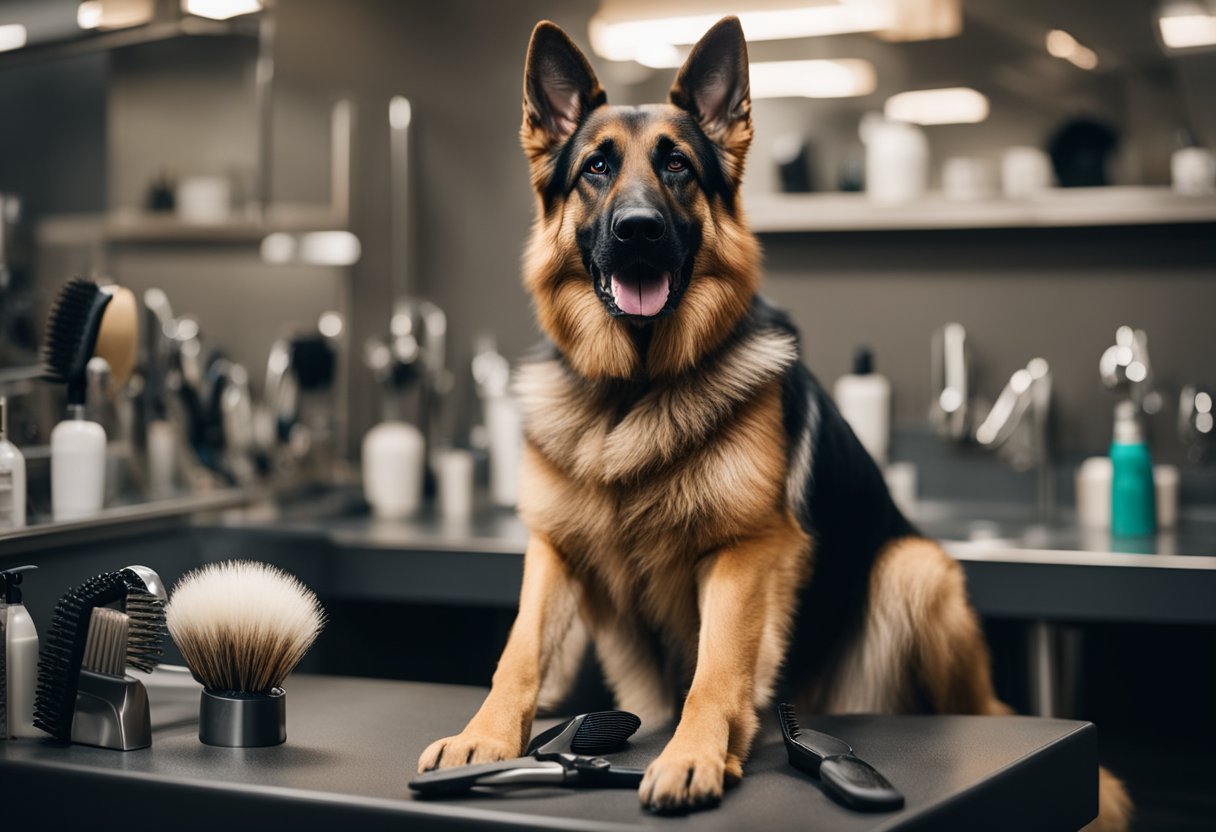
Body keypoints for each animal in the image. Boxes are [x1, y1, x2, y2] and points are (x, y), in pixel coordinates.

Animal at [420, 16, 1128, 827]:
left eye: (678, 166)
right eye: (596, 167)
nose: (638, 231)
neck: (634, 392)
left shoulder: (744, 553)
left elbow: (717, 668)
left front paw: (694, 754)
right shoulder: (555, 552)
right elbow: (519, 652)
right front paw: (482, 737)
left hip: (917, 570)